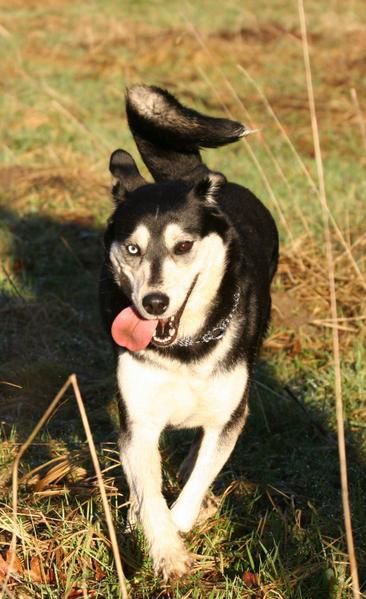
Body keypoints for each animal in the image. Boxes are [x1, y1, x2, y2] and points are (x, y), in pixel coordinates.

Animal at [98, 84, 278, 580]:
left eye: (183, 246)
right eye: (133, 249)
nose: (154, 303)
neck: (183, 350)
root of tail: (195, 178)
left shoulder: (228, 417)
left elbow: (196, 480)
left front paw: (181, 524)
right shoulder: (138, 419)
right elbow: (149, 490)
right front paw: (164, 549)